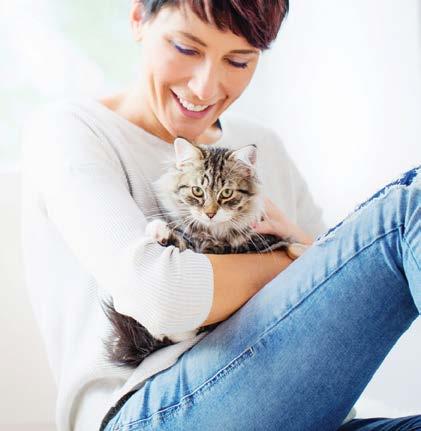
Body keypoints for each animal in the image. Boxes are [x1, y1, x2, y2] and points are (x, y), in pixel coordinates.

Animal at [101, 137, 308, 368]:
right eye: (197, 191)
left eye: (226, 193)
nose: (210, 214)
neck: (212, 235)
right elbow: (181, 241)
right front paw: (159, 230)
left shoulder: (261, 241)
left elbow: (286, 245)